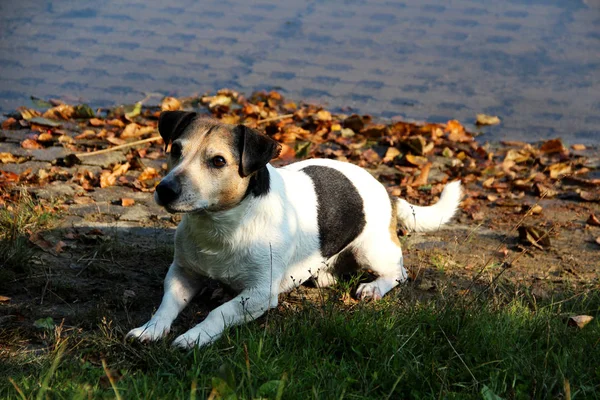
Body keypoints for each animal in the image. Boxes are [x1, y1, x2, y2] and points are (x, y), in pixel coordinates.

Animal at [126, 111, 462, 348]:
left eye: (218, 161)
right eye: (176, 149)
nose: (164, 190)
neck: (221, 226)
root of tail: (388, 192)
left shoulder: (260, 294)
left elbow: (219, 313)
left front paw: (194, 337)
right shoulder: (181, 273)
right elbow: (166, 304)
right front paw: (150, 329)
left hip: (372, 250)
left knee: (399, 272)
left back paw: (374, 287)